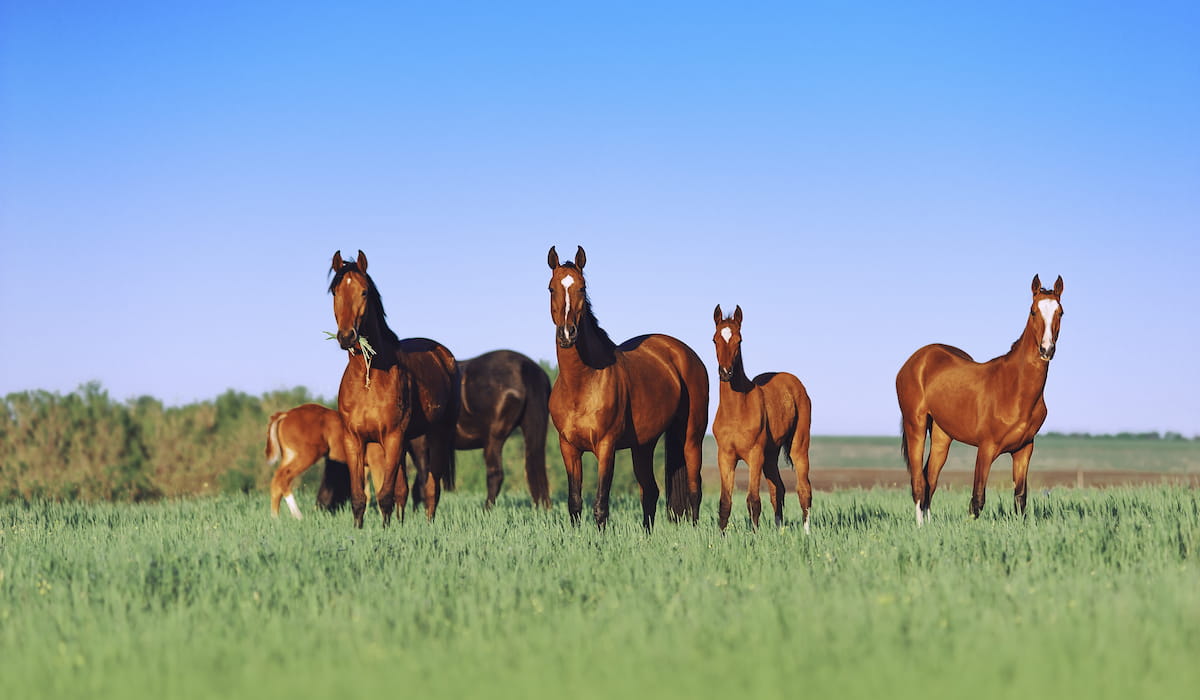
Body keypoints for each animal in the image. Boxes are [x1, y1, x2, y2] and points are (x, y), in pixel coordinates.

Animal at [318, 349, 553, 510]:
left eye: (333, 470)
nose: (320, 503)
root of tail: (525, 368)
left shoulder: (417, 443)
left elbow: (422, 480)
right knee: (535, 470)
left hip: (494, 438)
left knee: (496, 474)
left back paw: (487, 509)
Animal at [329, 250, 458, 528]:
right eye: (335, 292)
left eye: (364, 291)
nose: (347, 336)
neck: (367, 377)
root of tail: (444, 355)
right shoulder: (354, 440)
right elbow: (360, 497)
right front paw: (359, 531)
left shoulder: (392, 437)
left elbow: (385, 494)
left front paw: (386, 531)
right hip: (410, 440)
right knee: (406, 490)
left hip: (435, 436)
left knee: (431, 489)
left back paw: (429, 525)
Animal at [546, 245, 709, 531]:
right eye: (551, 288)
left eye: (582, 288)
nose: (567, 334)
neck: (581, 383)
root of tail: (684, 353)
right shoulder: (568, 447)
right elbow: (574, 502)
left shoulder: (606, 446)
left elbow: (601, 505)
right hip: (643, 445)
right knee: (651, 491)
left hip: (691, 437)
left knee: (694, 489)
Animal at [711, 305, 813, 532]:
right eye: (714, 339)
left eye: (739, 340)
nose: (726, 372)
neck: (737, 410)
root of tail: (794, 381)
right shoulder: (725, 456)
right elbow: (725, 503)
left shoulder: (754, 454)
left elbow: (753, 500)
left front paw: (755, 537)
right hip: (770, 455)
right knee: (778, 489)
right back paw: (779, 532)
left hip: (798, 446)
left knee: (804, 489)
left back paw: (807, 533)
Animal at [896, 274, 1064, 524]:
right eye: (1033, 311)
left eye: (1060, 312)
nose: (1047, 349)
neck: (1015, 388)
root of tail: (916, 359)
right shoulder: (986, 448)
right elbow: (977, 500)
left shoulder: (1024, 449)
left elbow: (1020, 498)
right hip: (915, 425)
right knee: (918, 482)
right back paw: (920, 529)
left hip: (942, 435)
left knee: (929, 480)